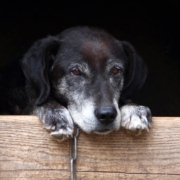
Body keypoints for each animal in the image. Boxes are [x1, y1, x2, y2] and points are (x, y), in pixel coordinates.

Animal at [0, 26, 152, 141]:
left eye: (115, 70)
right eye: (76, 71)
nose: (107, 115)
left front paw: (134, 108)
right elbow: (35, 101)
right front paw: (56, 114)